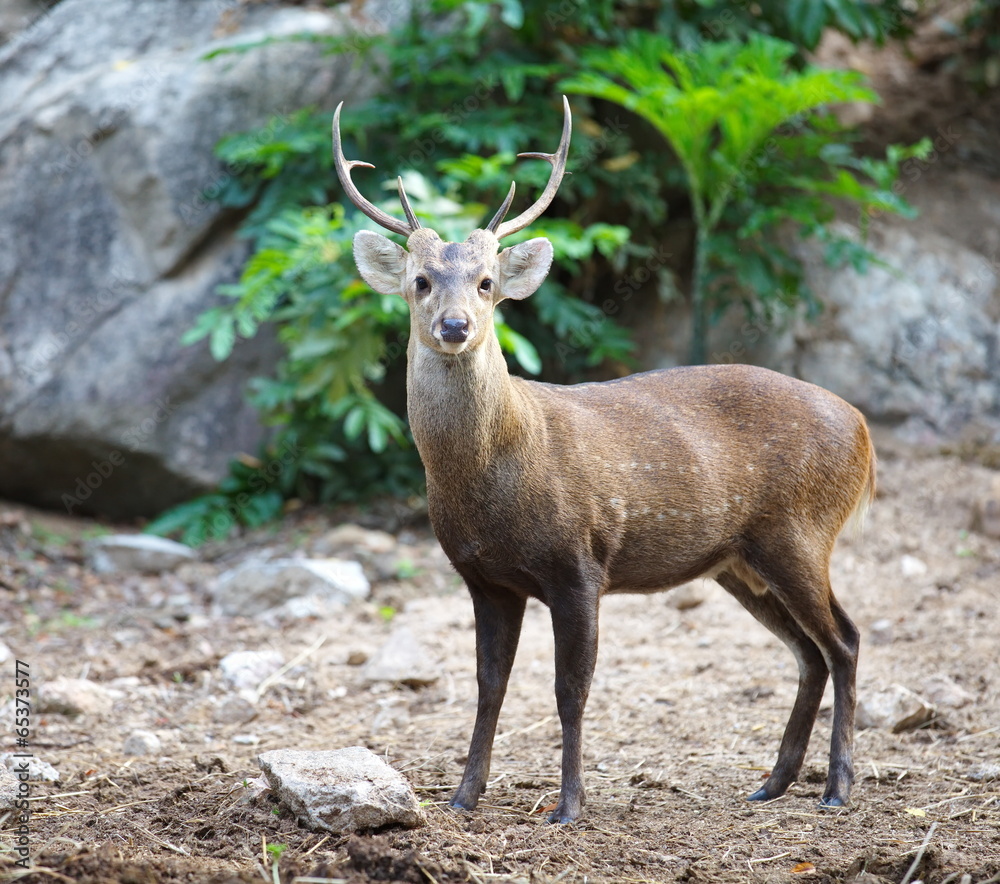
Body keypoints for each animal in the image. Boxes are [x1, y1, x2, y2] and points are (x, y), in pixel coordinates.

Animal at [334, 95, 876, 820]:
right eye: (420, 281)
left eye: (486, 283)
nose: (454, 326)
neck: (495, 476)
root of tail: (861, 426)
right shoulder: (483, 579)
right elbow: (487, 688)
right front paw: (462, 797)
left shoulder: (580, 561)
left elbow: (571, 690)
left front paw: (569, 805)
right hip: (739, 561)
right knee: (809, 651)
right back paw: (772, 781)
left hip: (800, 531)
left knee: (844, 639)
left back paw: (837, 788)